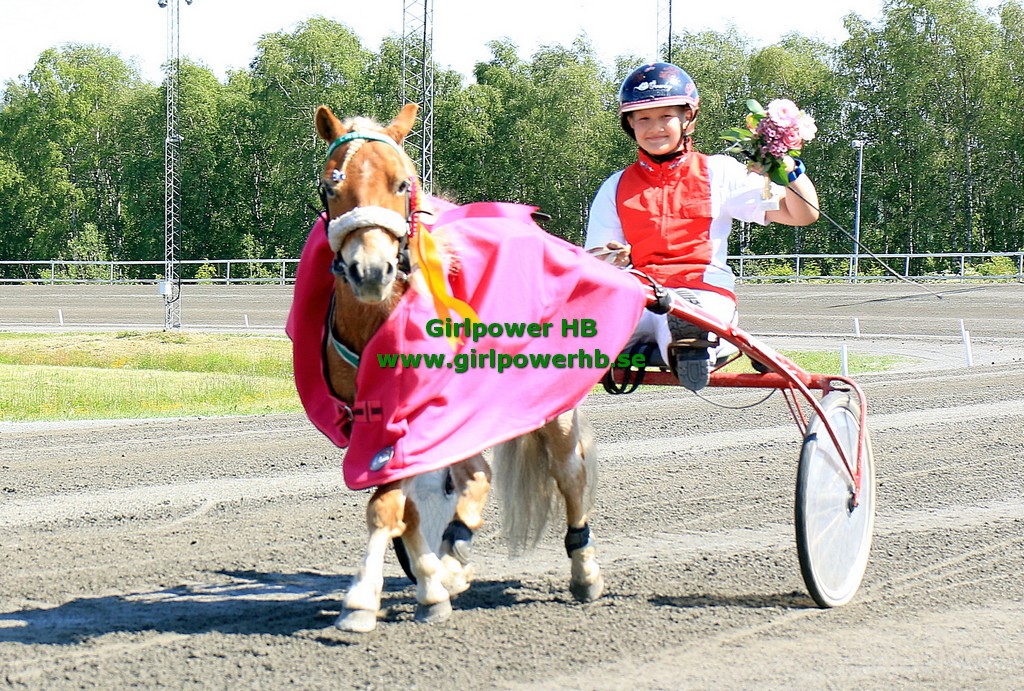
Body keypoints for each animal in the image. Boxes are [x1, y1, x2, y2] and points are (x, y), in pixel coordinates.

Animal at [305, 103, 606, 632]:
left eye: (402, 183)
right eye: (330, 185)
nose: (370, 270)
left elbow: (386, 506)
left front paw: (362, 598)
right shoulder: (372, 419)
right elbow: (406, 507)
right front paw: (431, 583)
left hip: (554, 404)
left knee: (569, 474)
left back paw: (583, 569)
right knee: (477, 476)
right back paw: (453, 555)